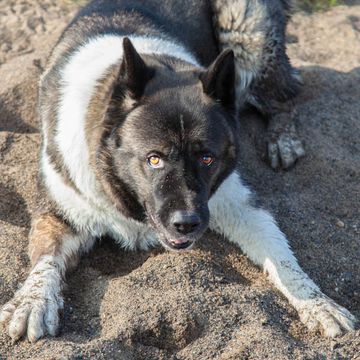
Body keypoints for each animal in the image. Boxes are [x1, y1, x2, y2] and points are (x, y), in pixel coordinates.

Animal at [0, 0, 356, 344]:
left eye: (207, 158)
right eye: (154, 159)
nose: (186, 224)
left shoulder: (238, 204)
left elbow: (281, 258)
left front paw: (318, 303)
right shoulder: (58, 213)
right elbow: (46, 260)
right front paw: (33, 302)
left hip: (246, 33)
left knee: (281, 97)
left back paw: (282, 139)